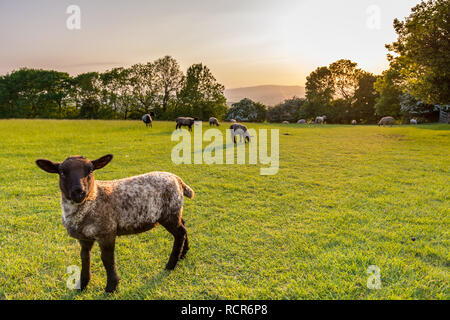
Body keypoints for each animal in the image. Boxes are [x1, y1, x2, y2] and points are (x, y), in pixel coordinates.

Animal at [35, 154, 193, 292]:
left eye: (90, 170)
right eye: (62, 172)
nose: (79, 192)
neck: (94, 197)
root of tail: (177, 179)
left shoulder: (107, 232)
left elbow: (107, 259)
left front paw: (111, 287)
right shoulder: (84, 238)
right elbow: (84, 257)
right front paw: (83, 284)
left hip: (169, 213)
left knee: (180, 233)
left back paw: (171, 264)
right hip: (175, 211)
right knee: (184, 226)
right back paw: (183, 254)